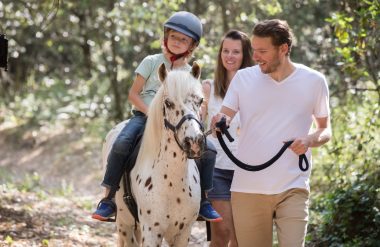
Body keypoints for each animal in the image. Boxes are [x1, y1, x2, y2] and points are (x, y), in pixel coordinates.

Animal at [102, 63, 206, 247]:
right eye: (168, 103)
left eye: (200, 100)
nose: (194, 142)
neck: (172, 182)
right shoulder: (151, 232)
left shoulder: (183, 232)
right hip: (124, 224)